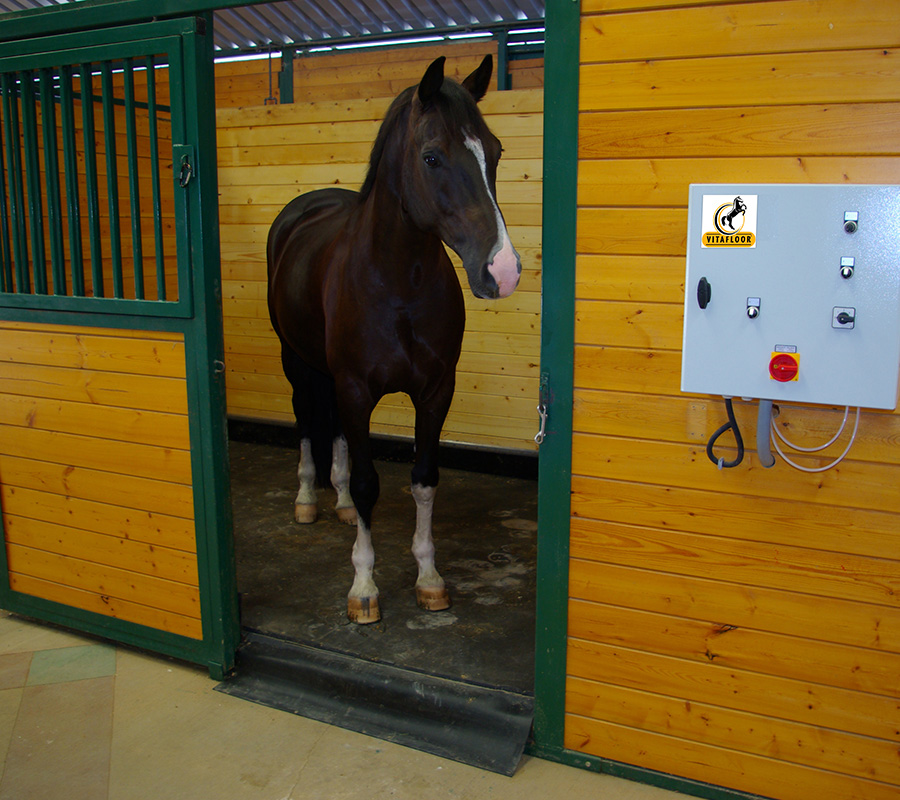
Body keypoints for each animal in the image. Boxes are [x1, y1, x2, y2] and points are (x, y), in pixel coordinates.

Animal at [266, 55, 521, 624]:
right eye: (432, 156)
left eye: (494, 151)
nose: (503, 270)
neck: (398, 283)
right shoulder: (356, 388)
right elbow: (369, 484)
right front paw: (363, 586)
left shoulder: (434, 391)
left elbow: (423, 479)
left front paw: (429, 577)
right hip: (297, 362)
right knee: (304, 419)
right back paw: (308, 499)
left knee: (337, 434)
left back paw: (338, 504)